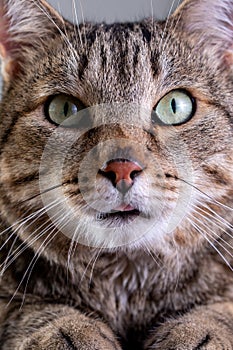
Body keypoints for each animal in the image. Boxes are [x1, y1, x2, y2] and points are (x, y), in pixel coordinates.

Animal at [0, 0, 232, 348]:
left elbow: (221, 307)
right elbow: (28, 308)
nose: (121, 167)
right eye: (63, 109)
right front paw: (68, 330)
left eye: (175, 105)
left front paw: (197, 330)